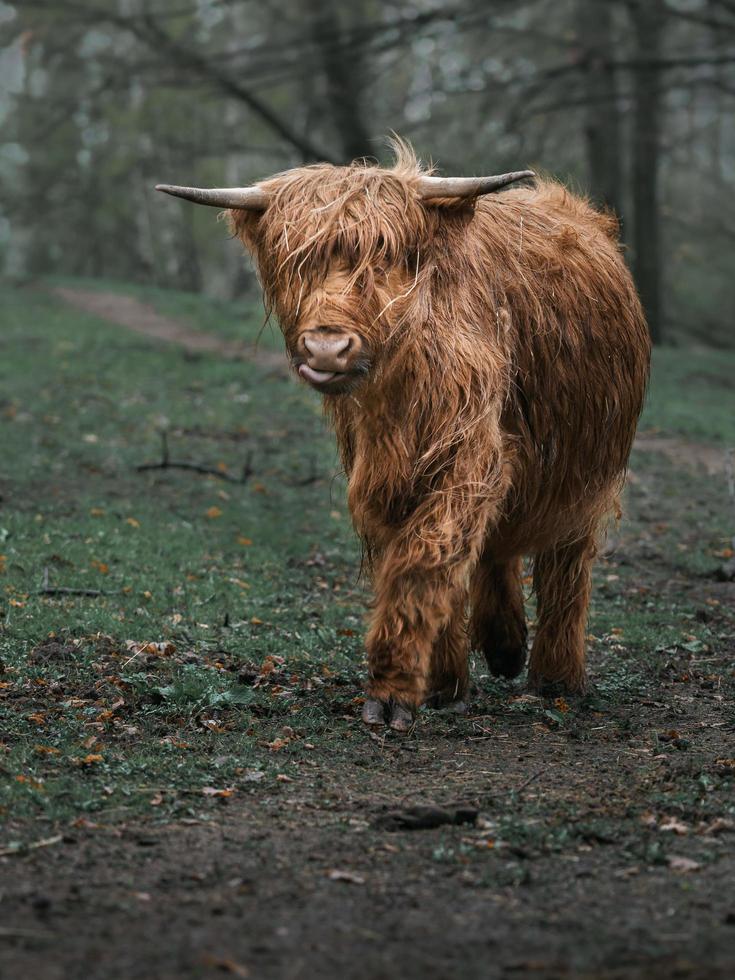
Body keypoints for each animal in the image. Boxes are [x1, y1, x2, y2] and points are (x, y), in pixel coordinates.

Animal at [158, 142, 652, 732]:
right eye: (295, 260)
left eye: (387, 256)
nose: (327, 348)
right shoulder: (380, 470)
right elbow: (427, 561)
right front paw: (443, 682)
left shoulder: (470, 452)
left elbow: (426, 557)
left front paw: (394, 688)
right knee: (498, 551)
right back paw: (504, 647)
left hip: (586, 472)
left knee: (565, 566)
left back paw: (555, 677)